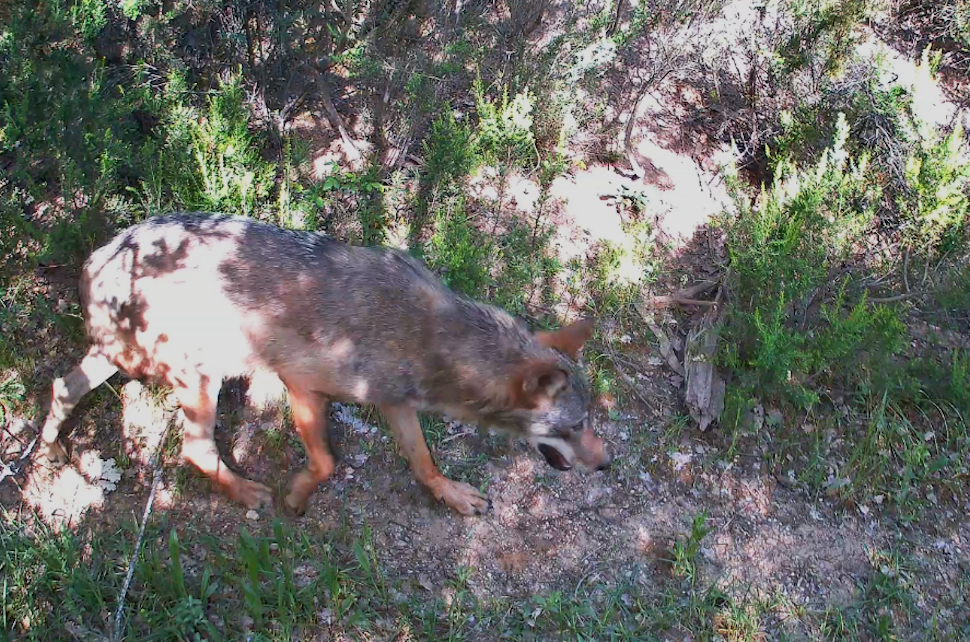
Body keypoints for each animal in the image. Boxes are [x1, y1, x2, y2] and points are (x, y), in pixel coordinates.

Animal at [38, 213, 609, 515]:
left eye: (589, 422)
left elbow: (423, 461)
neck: (431, 339)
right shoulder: (301, 385)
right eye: (574, 426)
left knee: (61, 385)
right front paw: (294, 495)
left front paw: (450, 494)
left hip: (121, 360)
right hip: (200, 379)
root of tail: (97, 258)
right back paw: (250, 493)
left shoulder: (396, 404)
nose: (605, 464)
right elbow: (328, 463)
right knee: (195, 452)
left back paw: (48, 452)